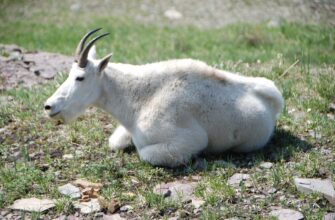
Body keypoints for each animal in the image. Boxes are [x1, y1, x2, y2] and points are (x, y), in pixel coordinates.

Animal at [45, 28, 284, 168]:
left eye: (80, 77)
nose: (49, 106)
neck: (138, 97)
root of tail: (274, 99)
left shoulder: (190, 139)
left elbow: (145, 153)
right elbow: (115, 142)